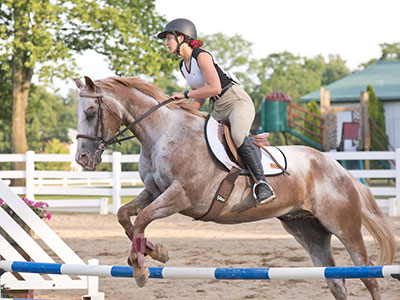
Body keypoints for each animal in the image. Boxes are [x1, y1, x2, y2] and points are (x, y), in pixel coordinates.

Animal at [75, 75, 396, 300]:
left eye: (90, 112)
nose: (82, 159)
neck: (164, 133)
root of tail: (339, 169)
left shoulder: (181, 197)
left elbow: (142, 218)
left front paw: (141, 266)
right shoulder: (154, 192)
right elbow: (124, 216)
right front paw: (157, 253)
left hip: (344, 225)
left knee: (367, 274)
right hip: (309, 231)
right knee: (335, 280)